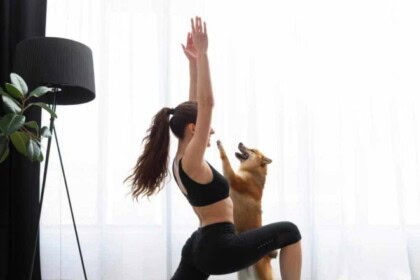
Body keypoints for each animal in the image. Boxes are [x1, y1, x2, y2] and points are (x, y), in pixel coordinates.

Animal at [217, 141, 276, 278]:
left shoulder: (233, 179)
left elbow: (225, 158)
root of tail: (268, 256)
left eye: (252, 150)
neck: (251, 173)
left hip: (262, 272)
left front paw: (220, 146)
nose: (240, 142)